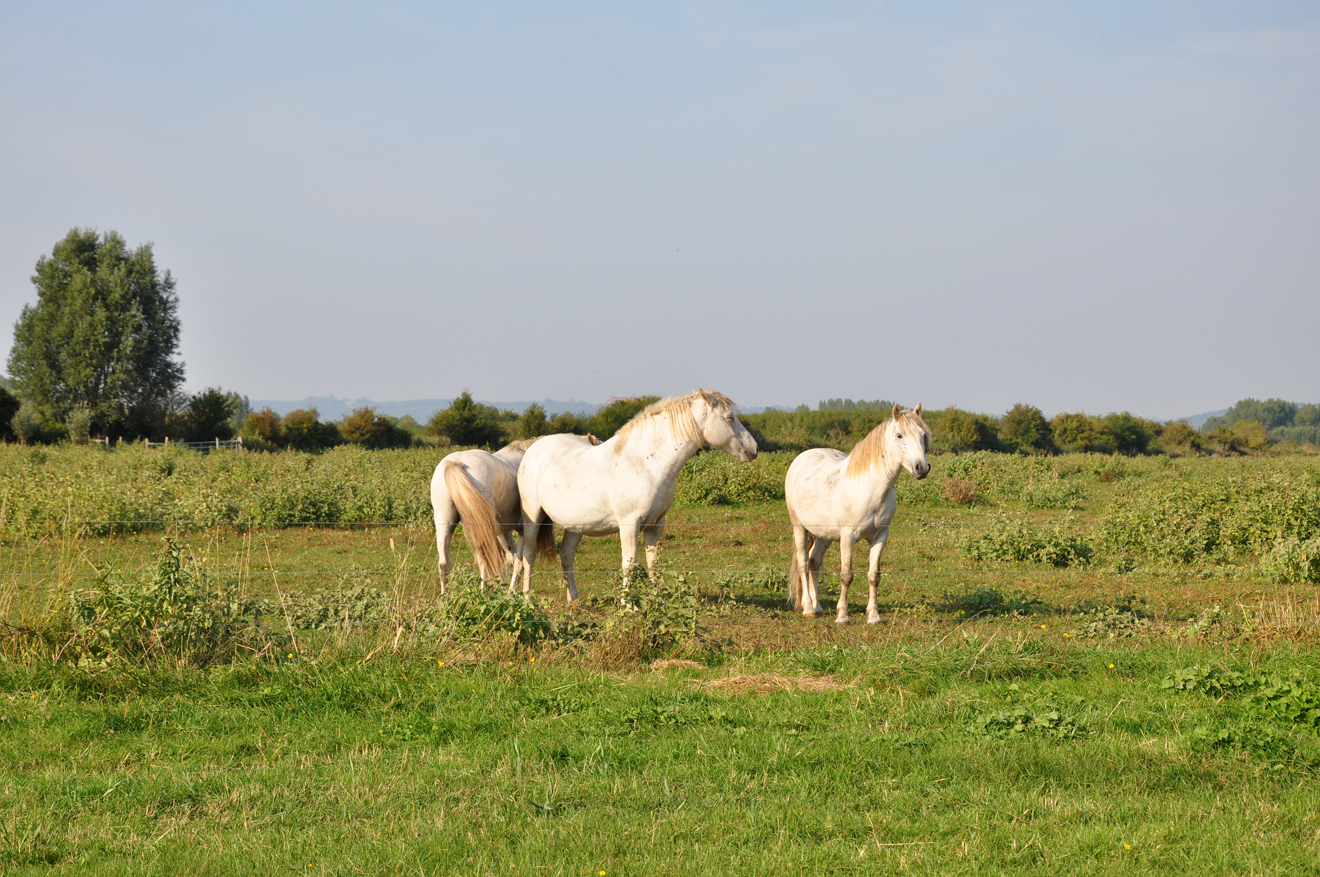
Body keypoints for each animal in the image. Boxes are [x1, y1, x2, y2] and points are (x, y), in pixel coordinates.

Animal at [430, 430, 601, 589]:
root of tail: (455, 463)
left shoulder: (504, 530)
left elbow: (510, 558)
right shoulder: (522, 530)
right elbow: (518, 562)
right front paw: (510, 590)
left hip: (445, 523)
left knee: (445, 563)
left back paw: (446, 597)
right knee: (485, 560)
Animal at [514, 390, 765, 602]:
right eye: (730, 418)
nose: (754, 449)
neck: (645, 464)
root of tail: (534, 448)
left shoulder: (656, 524)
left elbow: (653, 563)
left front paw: (658, 602)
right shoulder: (629, 524)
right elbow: (630, 563)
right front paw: (628, 606)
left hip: (576, 525)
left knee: (566, 554)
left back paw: (575, 601)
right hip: (533, 517)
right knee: (528, 555)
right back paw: (527, 599)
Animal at [786, 404, 934, 623]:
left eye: (923, 435)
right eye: (899, 435)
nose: (922, 468)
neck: (871, 488)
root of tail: (803, 457)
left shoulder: (880, 536)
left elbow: (874, 576)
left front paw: (874, 616)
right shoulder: (848, 537)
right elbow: (846, 576)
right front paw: (842, 617)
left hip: (824, 535)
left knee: (814, 562)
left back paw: (818, 607)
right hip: (799, 527)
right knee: (804, 562)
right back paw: (808, 608)